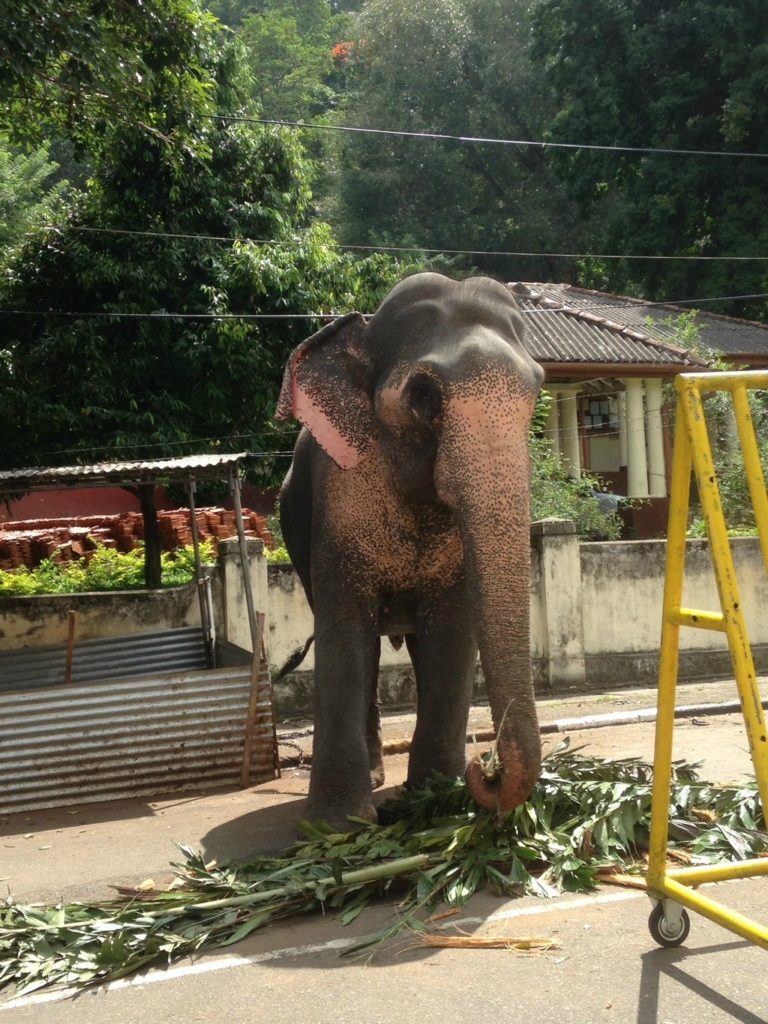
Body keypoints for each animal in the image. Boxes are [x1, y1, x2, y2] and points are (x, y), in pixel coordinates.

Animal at [276, 270, 548, 823]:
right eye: (423, 396)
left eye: (537, 389)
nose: (485, 767)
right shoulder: (342, 492)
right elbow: (345, 629)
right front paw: (337, 825)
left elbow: (450, 632)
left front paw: (437, 800)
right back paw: (376, 778)